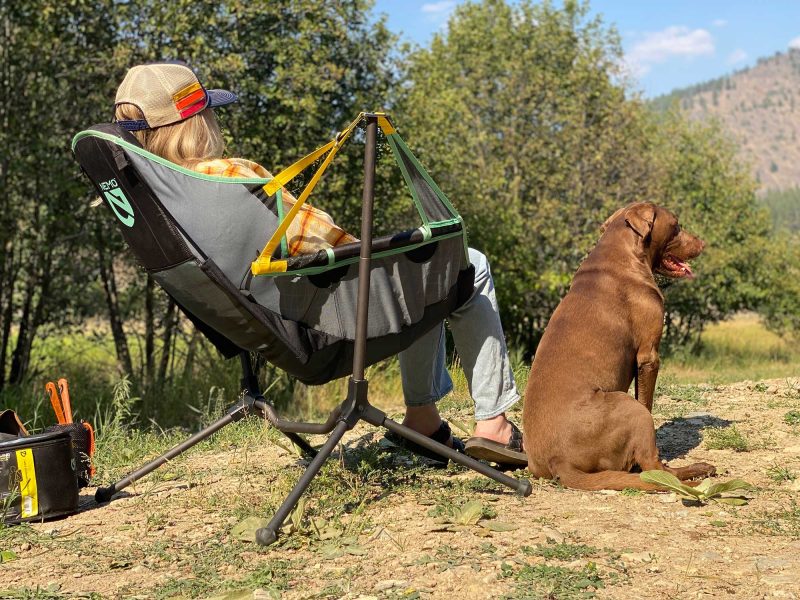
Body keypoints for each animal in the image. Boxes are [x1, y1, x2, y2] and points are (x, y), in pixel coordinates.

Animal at [520, 204, 716, 490]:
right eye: (677, 225)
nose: (703, 243)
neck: (622, 254)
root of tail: (559, 461)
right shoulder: (648, 356)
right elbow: (647, 401)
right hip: (628, 406)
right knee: (653, 468)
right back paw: (696, 471)